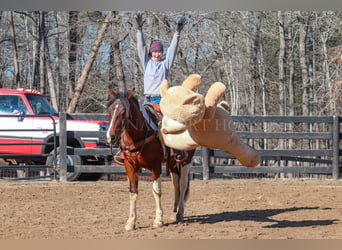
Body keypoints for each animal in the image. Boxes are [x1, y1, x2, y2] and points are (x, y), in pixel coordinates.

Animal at [105, 89, 194, 230]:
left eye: (123, 112)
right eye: (109, 110)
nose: (111, 137)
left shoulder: (155, 166)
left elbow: (156, 191)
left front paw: (158, 220)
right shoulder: (129, 166)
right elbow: (133, 191)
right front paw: (131, 222)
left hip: (187, 160)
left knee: (182, 184)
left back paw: (180, 213)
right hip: (173, 163)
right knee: (176, 183)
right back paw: (175, 210)